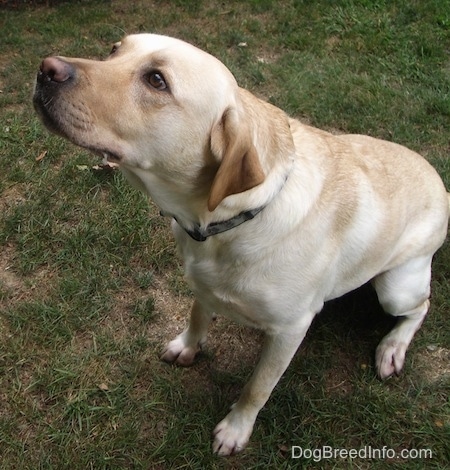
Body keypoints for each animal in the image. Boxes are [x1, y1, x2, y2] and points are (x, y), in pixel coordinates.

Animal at [32, 35, 450, 456]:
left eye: (156, 81)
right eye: (115, 49)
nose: (46, 68)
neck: (228, 222)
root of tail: (441, 185)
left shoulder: (290, 330)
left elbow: (257, 388)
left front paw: (236, 429)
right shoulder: (203, 284)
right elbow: (197, 316)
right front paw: (187, 346)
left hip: (395, 288)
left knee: (421, 307)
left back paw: (392, 347)